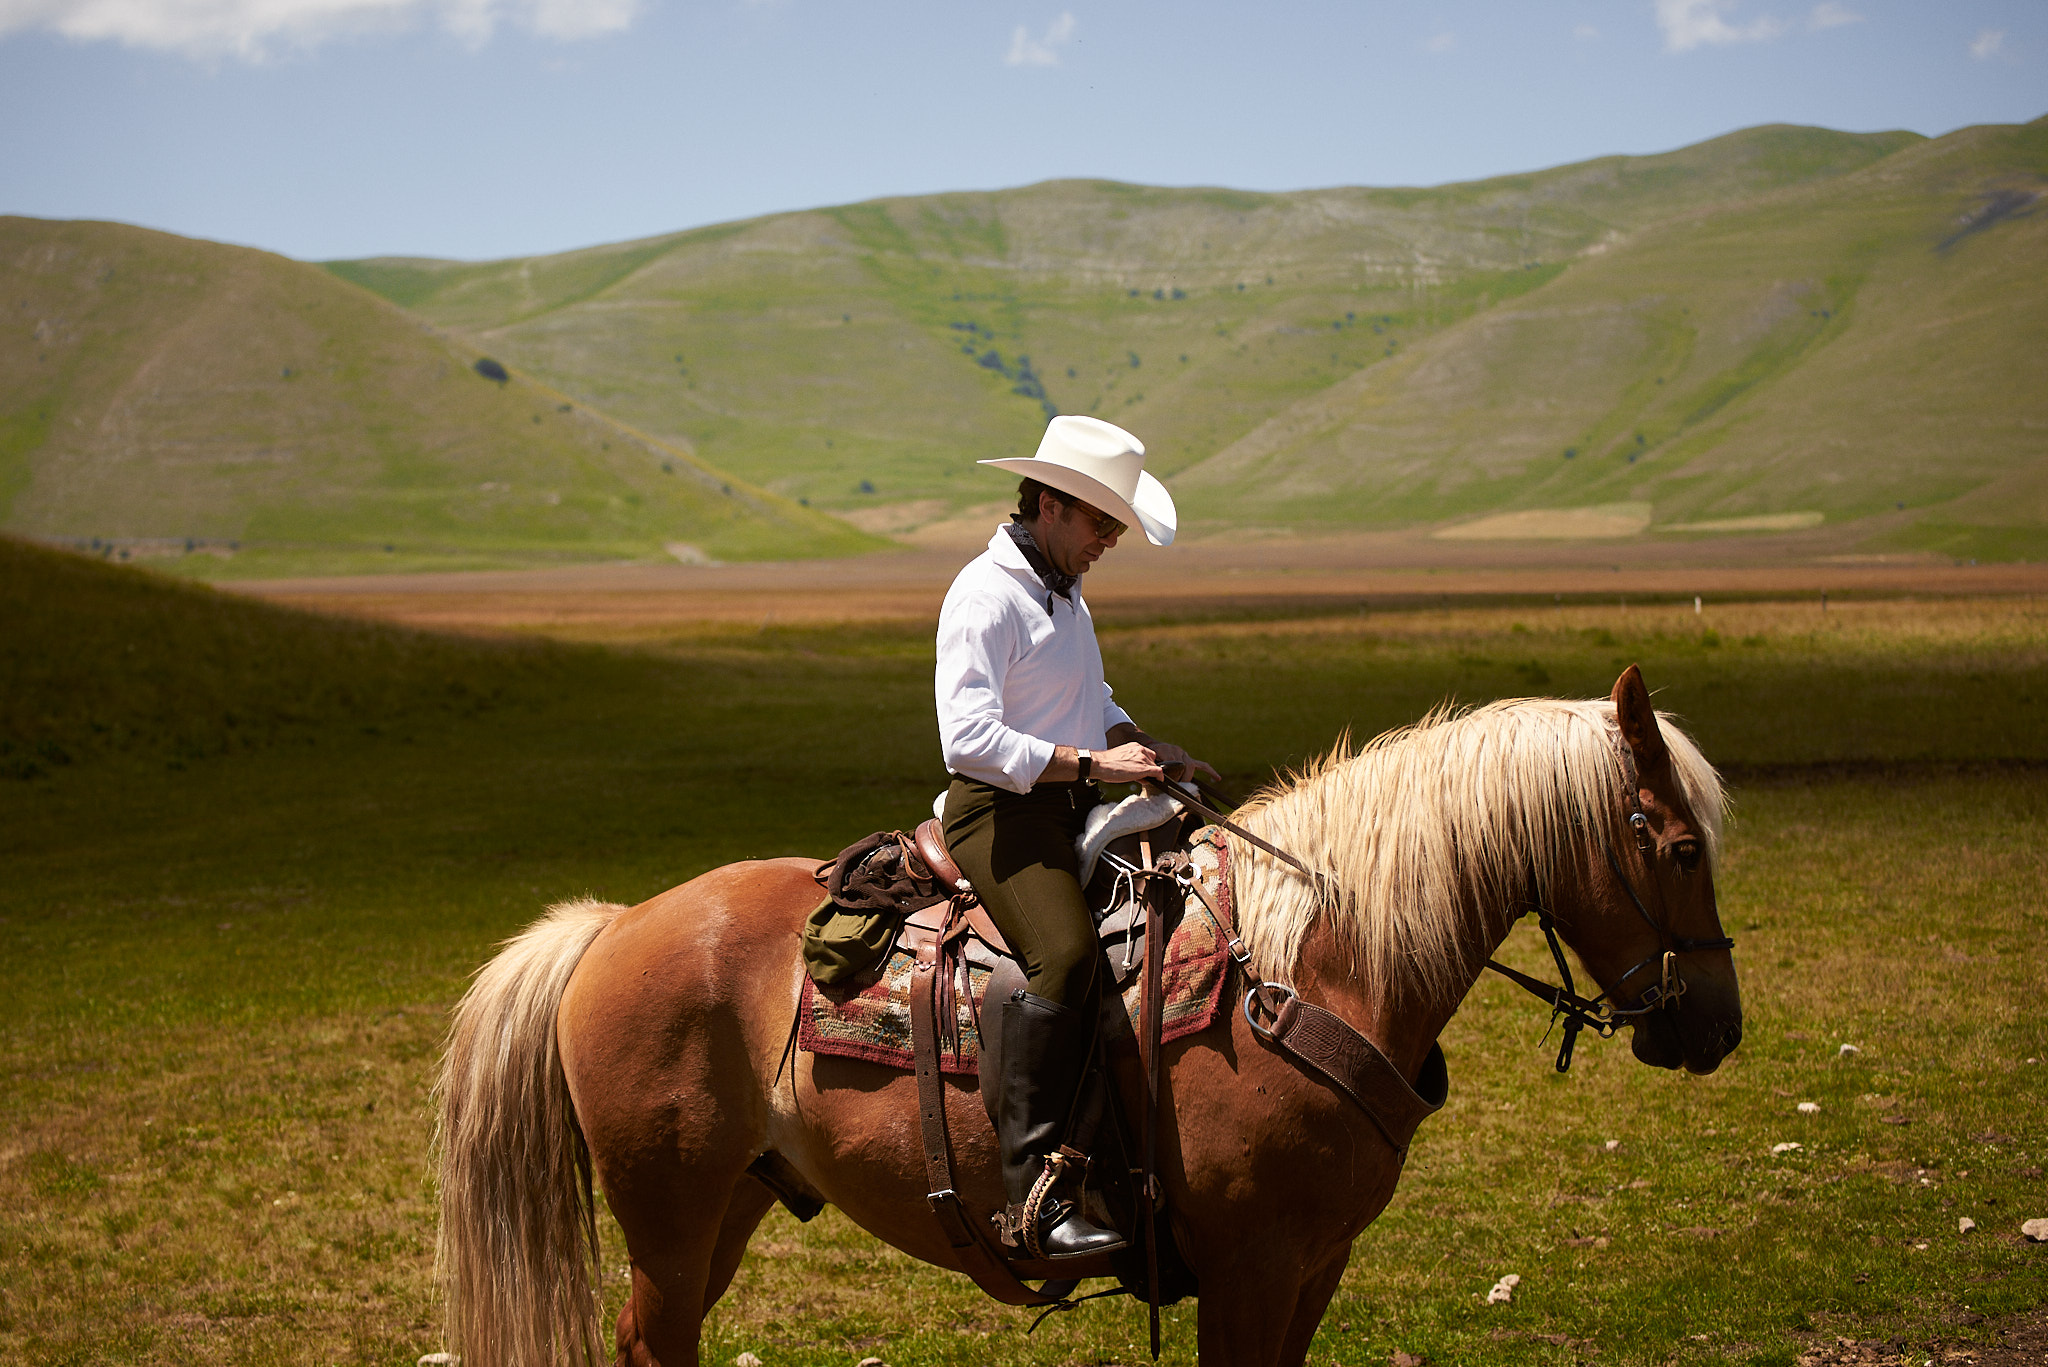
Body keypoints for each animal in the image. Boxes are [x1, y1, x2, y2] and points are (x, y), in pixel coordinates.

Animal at [433, 665, 1742, 1367]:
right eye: (1678, 846)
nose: (1715, 1026)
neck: (1309, 972)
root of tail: (612, 925)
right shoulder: (1251, 1266)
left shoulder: (1314, 1265)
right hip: (667, 1209)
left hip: (729, 1202)